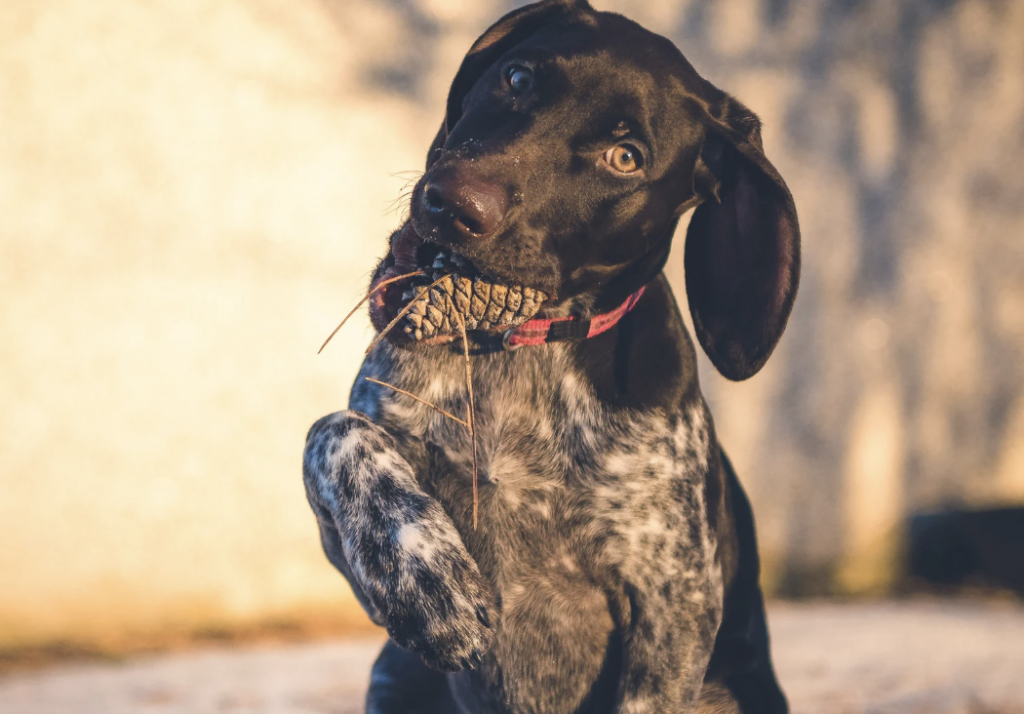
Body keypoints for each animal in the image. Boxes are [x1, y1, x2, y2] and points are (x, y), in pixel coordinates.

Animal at [303, 1, 799, 712]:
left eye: (625, 157)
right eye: (517, 77)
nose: (452, 203)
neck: (523, 351)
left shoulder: (674, 600)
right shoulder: (348, 556)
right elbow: (332, 432)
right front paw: (425, 581)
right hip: (394, 676)